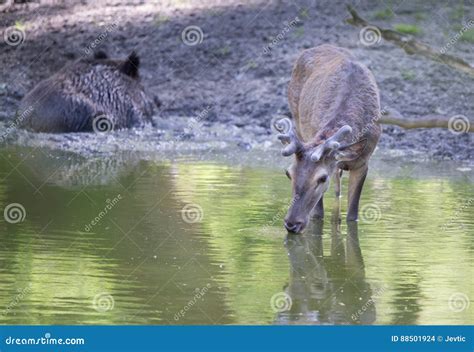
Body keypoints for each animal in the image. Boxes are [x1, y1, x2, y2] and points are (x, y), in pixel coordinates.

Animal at [274, 45, 382, 234]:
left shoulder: (363, 162)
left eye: (322, 178)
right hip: (297, 118)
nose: (291, 224)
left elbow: (352, 216)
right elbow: (318, 215)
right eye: (288, 173)